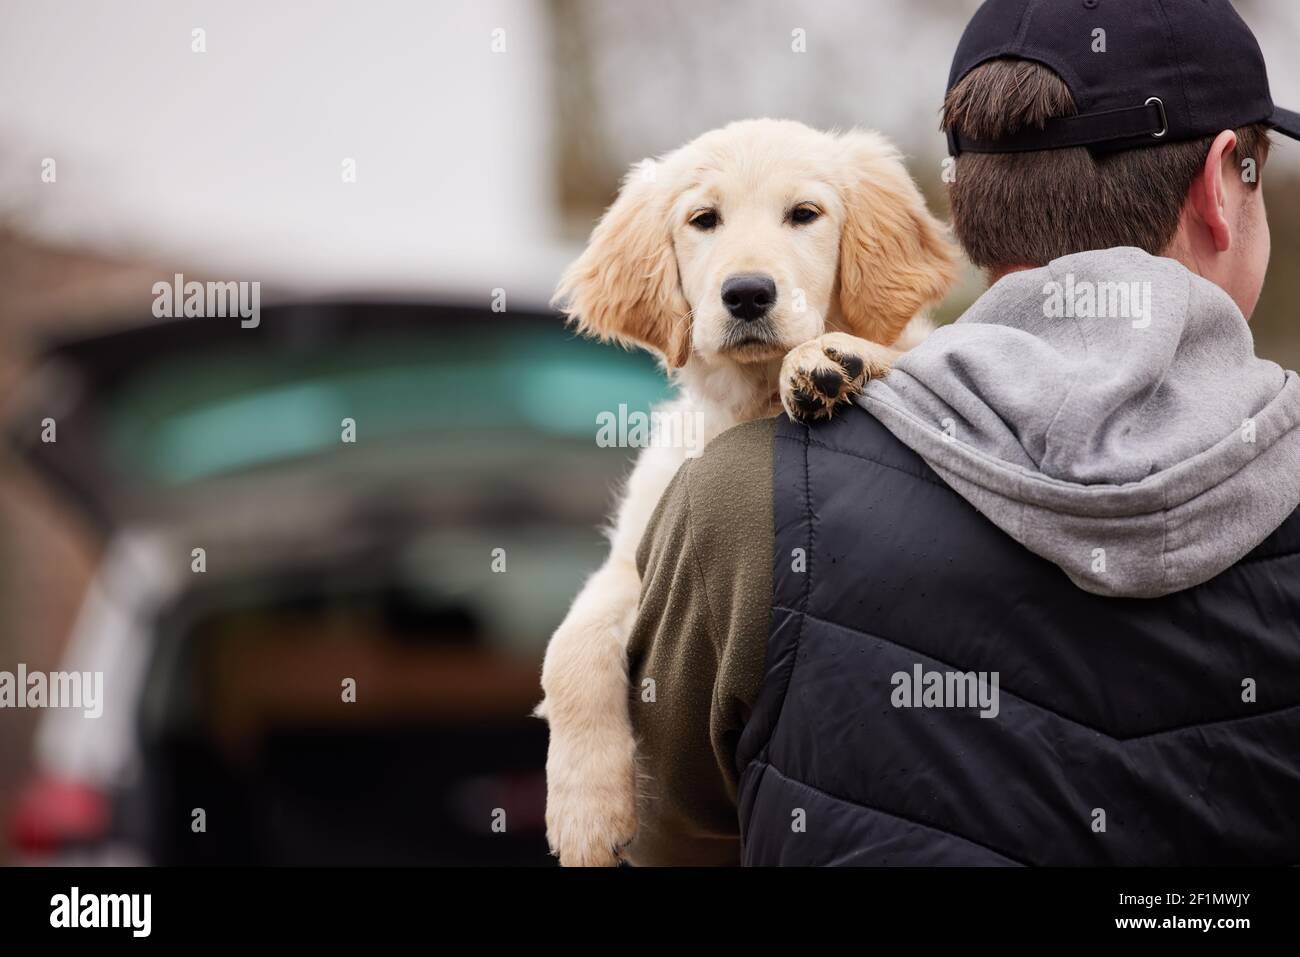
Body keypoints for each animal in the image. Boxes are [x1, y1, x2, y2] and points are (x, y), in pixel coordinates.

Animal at [535, 115, 956, 863]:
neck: (752, 401)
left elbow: (897, 352)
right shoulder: (635, 560)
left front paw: (833, 359)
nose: (749, 293)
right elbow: (568, 648)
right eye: (704, 219)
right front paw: (584, 814)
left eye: (805, 215)